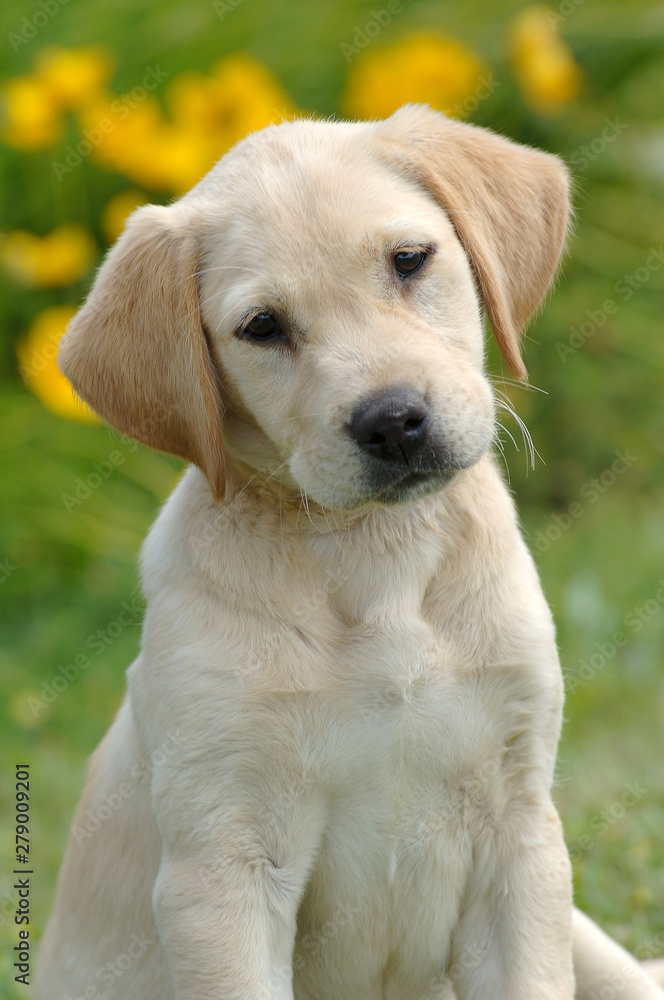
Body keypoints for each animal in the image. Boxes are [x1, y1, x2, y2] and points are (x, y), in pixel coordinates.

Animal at [35, 103, 664, 1000]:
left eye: (409, 260)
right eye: (262, 327)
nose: (393, 421)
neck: (377, 555)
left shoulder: (520, 838)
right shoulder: (223, 870)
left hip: (584, 931)